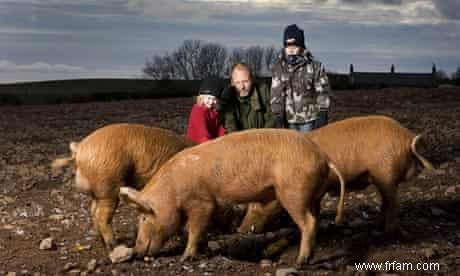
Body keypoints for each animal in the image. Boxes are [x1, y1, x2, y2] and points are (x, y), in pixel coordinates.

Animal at [51, 123, 195, 248]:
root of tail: (79, 151)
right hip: (108, 185)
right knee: (101, 216)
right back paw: (114, 245)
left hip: (99, 192)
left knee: (93, 211)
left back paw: (101, 240)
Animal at [120, 128, 344, 266]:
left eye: (144, 217)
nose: (136, 252)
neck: (172, 189)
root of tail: (323, 157)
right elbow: (200, 230)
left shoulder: (201, 202)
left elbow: (194, 228)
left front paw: (185, 258)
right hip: (313, 195)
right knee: (315, 217)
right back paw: (310, 256)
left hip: (293, 192)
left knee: (308, 222)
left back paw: (300, 261)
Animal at [237, 115, 434, 236]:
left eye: (256, 204)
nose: (240, 230)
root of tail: (408, 137)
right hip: (383, 178)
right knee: (387, 202)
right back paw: (378, 226)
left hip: (385, 172)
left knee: (394, 203)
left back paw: (388, 233)